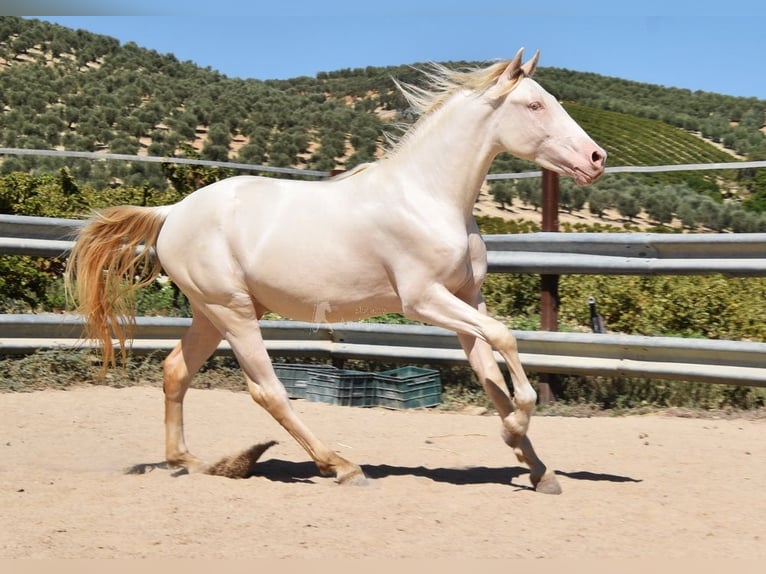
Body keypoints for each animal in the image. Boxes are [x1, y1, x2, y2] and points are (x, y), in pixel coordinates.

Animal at [64, 49, 608, 496]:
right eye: (534, 106)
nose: (596, 158)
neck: (428, 196)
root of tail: (173, 211)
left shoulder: (467, 298)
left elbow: (490, 376)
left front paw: (537, 468)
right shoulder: (424, 299)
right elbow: (505, 339)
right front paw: (519, 429)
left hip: (209, 312)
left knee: (176, 370)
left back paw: (191, 461)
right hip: (233, 311)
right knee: (268, 390)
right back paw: (341, 467)